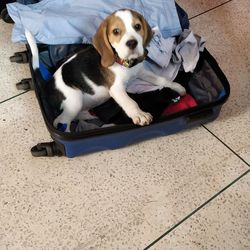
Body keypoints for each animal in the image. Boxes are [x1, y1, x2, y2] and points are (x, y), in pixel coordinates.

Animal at [25, 8, 186, 132]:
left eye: (137, 27)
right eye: (116, 31)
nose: (132, 43)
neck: (123, 62)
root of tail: (47, 84)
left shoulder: (140, 71)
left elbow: (161, 79)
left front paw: (176, 87)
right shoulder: (116, 89)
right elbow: (130, 101)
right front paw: (139, 114)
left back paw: (88, 116)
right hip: (74, 99)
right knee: (60, 121)